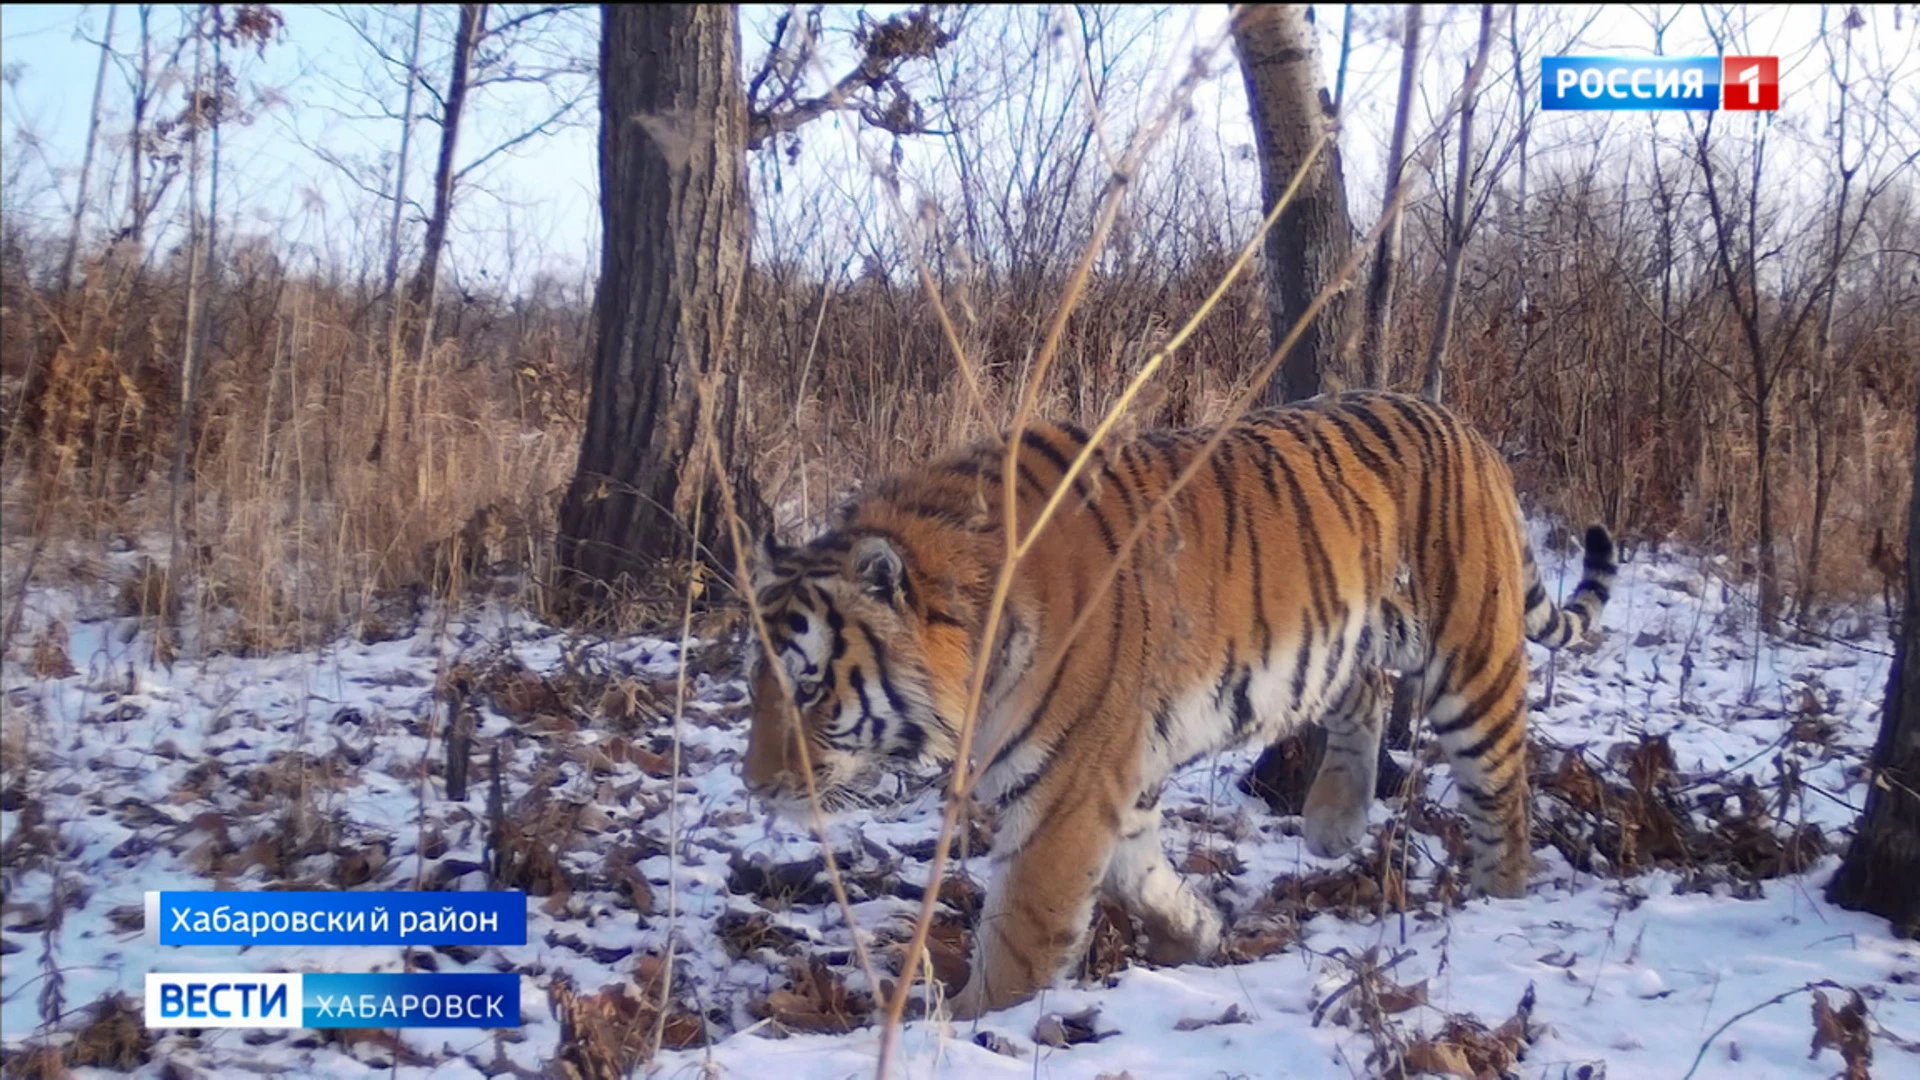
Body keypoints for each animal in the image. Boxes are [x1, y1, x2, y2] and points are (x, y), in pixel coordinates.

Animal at [741, 388, 1612, 1014]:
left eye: (810, 687)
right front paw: (1201, 934)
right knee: (1363, 691)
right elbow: (1138, 874)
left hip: (1470, 660)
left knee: (1503, 791)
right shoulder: (1109, 774)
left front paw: (961, 1026)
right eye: (756, 686)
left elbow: (1024, 929)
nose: (756, 787)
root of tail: (1464, 425)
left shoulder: (1066, 790)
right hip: (1354, 635)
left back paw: (1497, 902)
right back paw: (1333, 822)